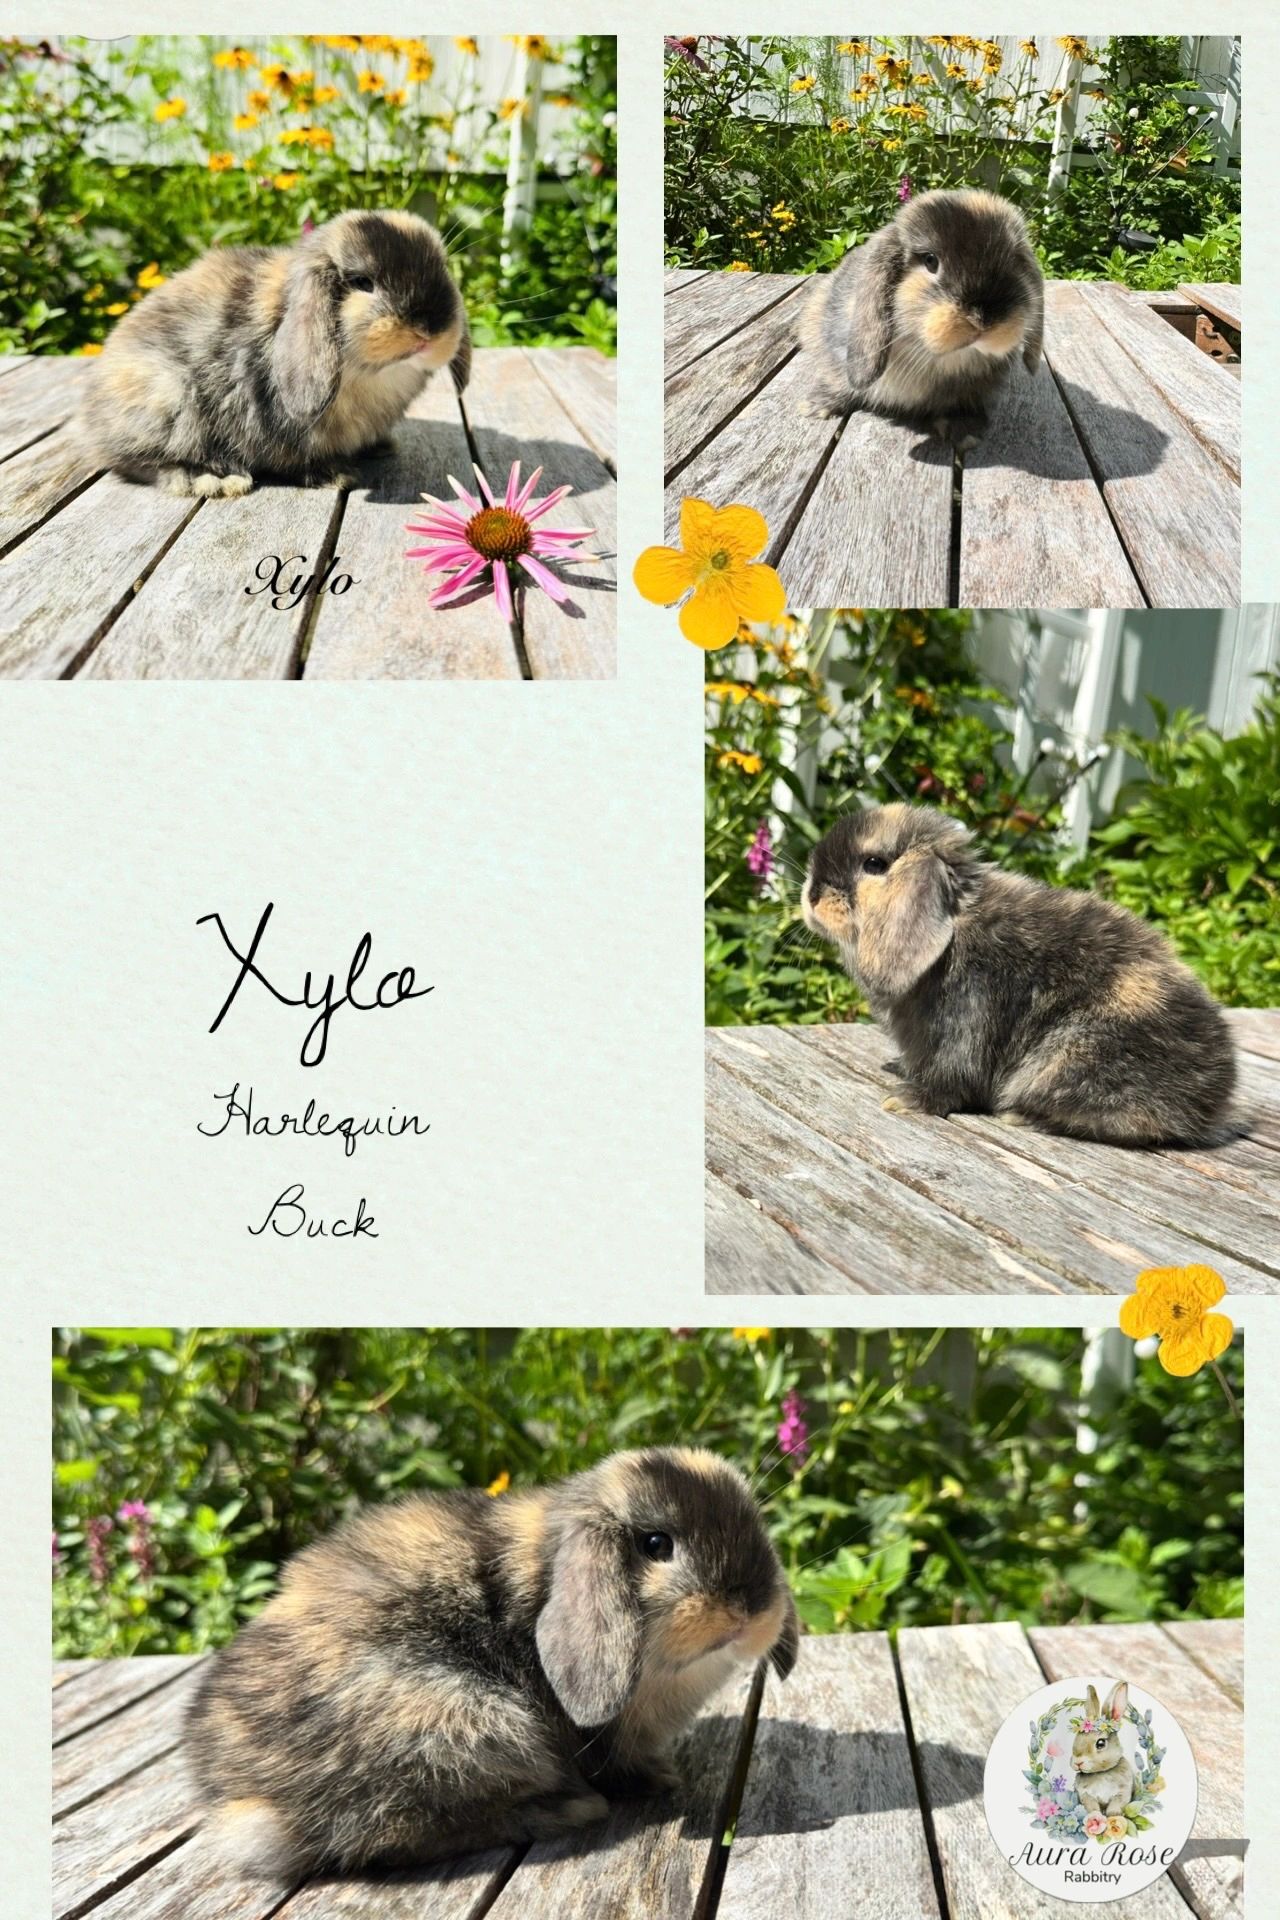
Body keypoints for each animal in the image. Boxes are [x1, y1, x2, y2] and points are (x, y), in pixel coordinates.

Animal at [78, 209, 470, 497]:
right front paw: (333, 475)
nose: (429, 330)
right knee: (142, 463)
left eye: (442, 269)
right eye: (362, 282)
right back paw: (211, 479)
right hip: (168, 398)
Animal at [185, 1446, 799, 1878]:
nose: (750, 1608)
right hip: (474, 1721)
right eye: (655, 1544)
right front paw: (656, 1779)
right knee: (397, 1834)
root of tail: (246, 1802)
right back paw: (568, 1810)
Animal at [797, 189, 1044, 446]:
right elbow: (838, 381)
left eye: (1014, 262)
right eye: (930, 261)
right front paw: (817, 405)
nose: (982, 318)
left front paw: (963, 430)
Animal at [802, 803, 1237, 1146]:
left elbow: (951, 1079)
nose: (811, 895)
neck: (956, 928)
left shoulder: (965, 1024)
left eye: (874, 864)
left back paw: (1021, 1116)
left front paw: (907, 1100)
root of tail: (1213, 1098)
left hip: (1068, 1060)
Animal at [1072, 1683, 1135, 1816]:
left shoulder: (1122, 1793)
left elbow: (1115, 1807)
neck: (1101, 1772)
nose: (1077, 1763)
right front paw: (1095, 1817)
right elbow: (1092, 1808)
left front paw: (1113, 1815)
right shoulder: (1086, 1795)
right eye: (1076, 1738)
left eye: (1100, 1743)